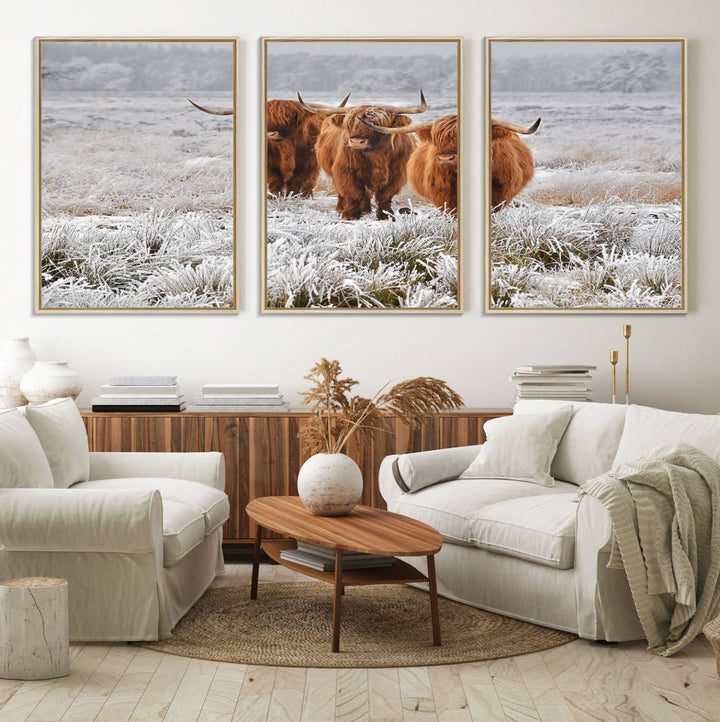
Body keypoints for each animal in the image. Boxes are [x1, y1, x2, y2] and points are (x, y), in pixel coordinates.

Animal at [298, 90, 428, 219]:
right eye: (350, 123)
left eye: (377, 123)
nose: (356, 141)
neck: (377, 156)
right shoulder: (344, 170)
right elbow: (353, 192)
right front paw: (350, 215)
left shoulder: (397, 175)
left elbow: (385, 195)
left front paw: (386, 215)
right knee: (344, 192)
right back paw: (342, 209)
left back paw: (366, 210)